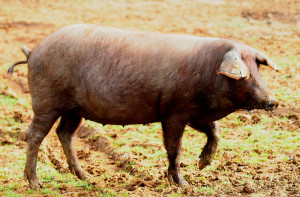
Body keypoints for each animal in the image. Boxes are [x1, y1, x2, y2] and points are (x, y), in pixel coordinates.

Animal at [8, 23, 280, 189]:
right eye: (243, 75)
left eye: (257, 69)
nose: (273, 101)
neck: (208, 72)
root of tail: (33, 52)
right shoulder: (174, 113)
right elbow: (174, 148)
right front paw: (184, 185)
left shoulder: (195, 114)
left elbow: (214, 131)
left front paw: (202, 165)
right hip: (46, 101)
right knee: (34, 135)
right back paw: (35, 185)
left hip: (75, 109)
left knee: (64, 133)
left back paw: (87, 177)